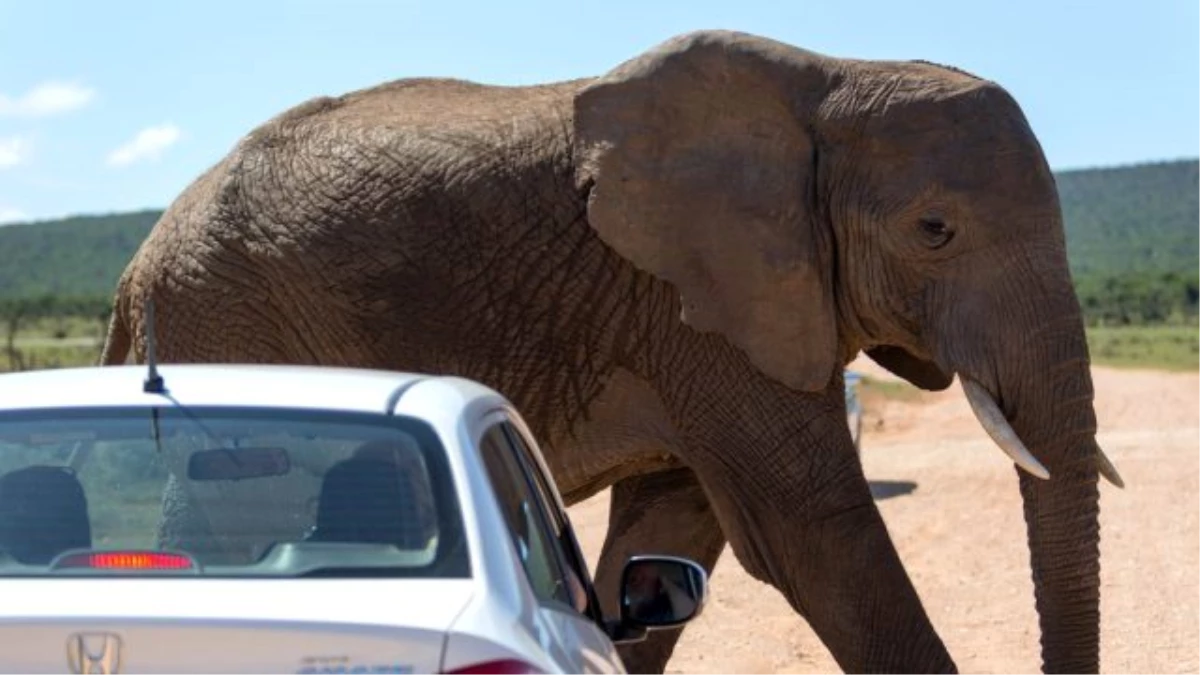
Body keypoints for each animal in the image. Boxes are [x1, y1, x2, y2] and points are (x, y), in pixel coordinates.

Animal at [98, 28, 1118, 667]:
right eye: (934, 230)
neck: (832, 77)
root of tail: (138, 262)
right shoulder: (694, 300)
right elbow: (813, 530)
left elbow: (674, 532)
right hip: (223, 318)